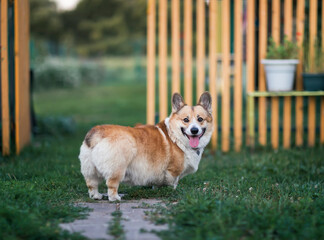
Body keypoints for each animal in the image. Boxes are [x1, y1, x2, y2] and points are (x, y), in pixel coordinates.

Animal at [79, 92, 213, 201]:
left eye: (200, 119)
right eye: (185, 120)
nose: (194, 130)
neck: (176, 137)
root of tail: (96, 133)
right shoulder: (173, 171)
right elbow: (173, 183)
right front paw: (172, 191)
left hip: (90, 169)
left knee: (92, 184)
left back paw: (96, 196)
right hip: (117, 168)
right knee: (111, 184)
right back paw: (115, 198)